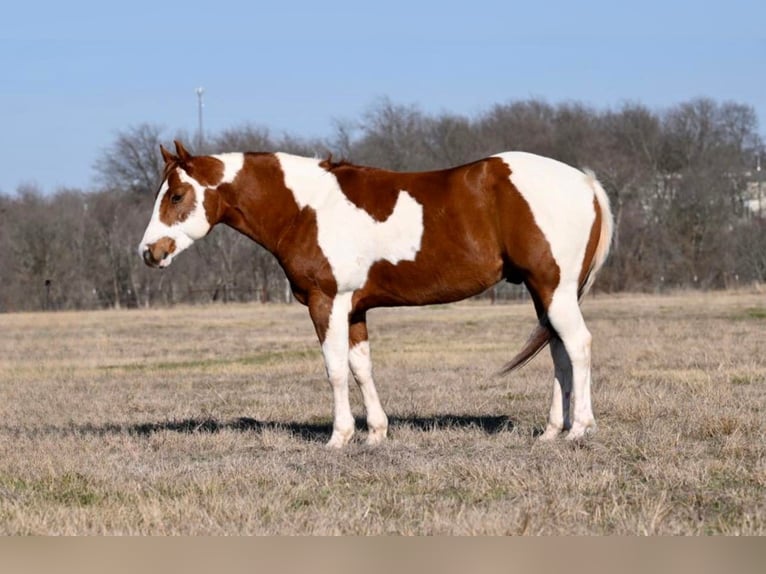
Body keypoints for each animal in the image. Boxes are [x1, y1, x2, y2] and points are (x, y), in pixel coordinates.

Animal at [138, 142, 616, 448]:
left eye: (176, 195)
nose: (149, 252)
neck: (306, 209)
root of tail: (586, 182)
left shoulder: (327, 302)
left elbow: (334, 370)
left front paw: (340, 437)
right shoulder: (354, 310)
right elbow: (360, 368)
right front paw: (376, 433)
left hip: (554, 290)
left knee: (578, 346)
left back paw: (580, 428)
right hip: (546, 292)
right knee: (560, 353)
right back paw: (552, 431)